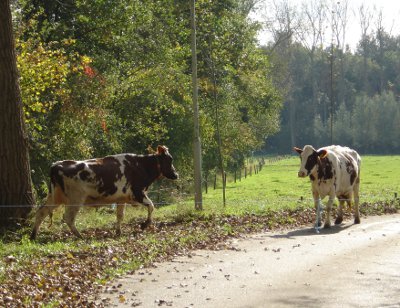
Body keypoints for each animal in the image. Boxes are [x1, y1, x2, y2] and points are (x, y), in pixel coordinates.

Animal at [31, 146, 180, 239]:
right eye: (169, 159)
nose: (176, 174)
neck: (140, 165)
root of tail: (56, 165)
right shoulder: (137, 193)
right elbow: (151, 205)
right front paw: (145, 224)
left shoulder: (121, 198)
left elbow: (120, 216)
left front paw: (118, 232)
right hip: (75, 199)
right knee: (68, 217)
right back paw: (79, 236)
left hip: (55, 197)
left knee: (41, 212)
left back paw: (33, 236)